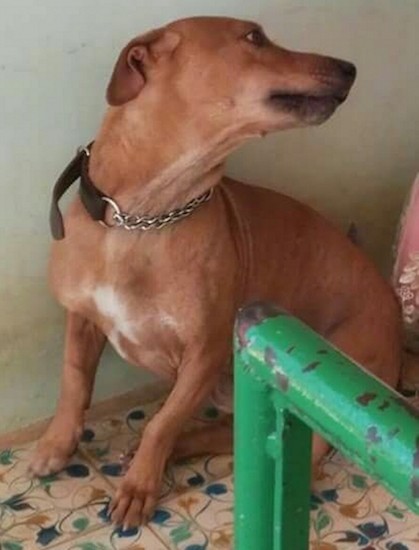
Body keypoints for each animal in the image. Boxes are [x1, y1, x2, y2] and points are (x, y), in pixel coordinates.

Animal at [29, 17, 404, 532]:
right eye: (253, 38)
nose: (349, 67)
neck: (142, 217)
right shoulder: (82, 319)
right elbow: (73, 383)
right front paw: (57, 443)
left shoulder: (202, 355)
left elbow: (162, 423)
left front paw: (139, 485)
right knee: (228, 430)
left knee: (300, 453)